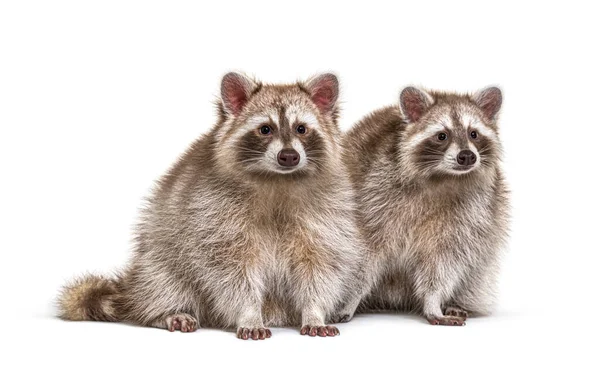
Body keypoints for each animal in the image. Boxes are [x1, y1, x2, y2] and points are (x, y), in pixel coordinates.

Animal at [58, 72, 364, 340]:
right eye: (265, 129)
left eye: (302, 129)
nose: (288, 156)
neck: (278, 179)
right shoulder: (212, 210)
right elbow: (230, 272)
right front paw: (249, 314)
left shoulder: (326, 210)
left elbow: (320, 265)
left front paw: (314, 312)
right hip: (158, 254)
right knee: (163, 279)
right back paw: (165, 311)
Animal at [336, 85, 508, 324]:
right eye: (442, 135)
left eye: (473, 133)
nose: (467, 156)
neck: (444, 177)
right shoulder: (373, 196)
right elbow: (363, 256)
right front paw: (349, 298)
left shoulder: (472, 211)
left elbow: (444, 262)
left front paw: (433, 302)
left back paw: (457, 303)